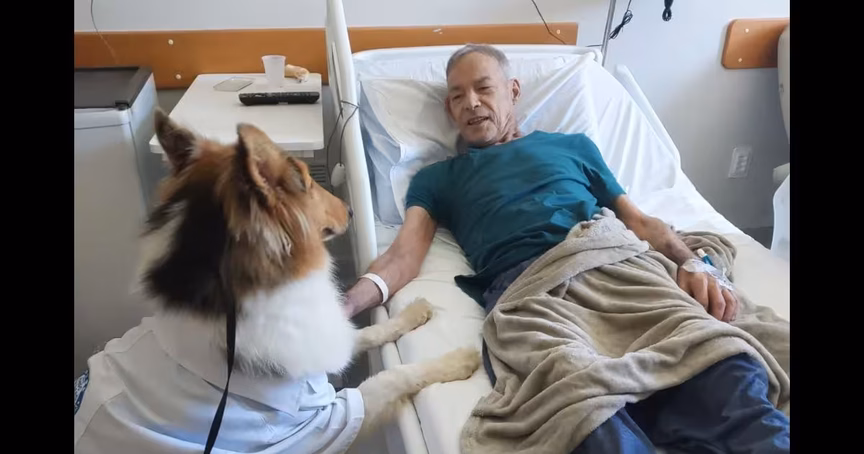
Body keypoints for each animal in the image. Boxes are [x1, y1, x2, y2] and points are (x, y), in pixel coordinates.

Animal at [73, 110, 481, 453]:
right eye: (307, 182)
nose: (351, 209)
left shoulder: (314, 344)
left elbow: (363, 332)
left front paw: (414, 313)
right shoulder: (323, 423)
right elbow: (395, 375)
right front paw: (457, 360)